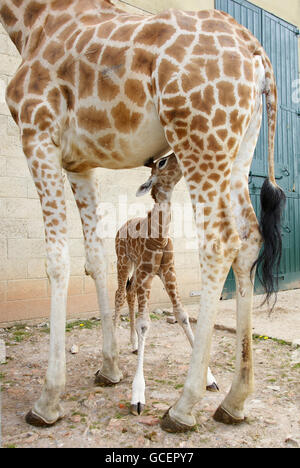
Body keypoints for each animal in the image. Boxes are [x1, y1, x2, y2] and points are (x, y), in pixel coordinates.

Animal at [115, 155, 218, 414]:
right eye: (162, 162)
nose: (180, 157)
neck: (158, 238)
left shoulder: (168, 272)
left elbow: (182, 315)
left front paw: (209, 378)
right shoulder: (146, 274)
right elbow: (144, 324)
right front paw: (138, 395)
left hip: (137, 271)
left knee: (129, 294)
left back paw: (133, 344)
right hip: (123, 262)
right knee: (119, 294)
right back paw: (111, 354)